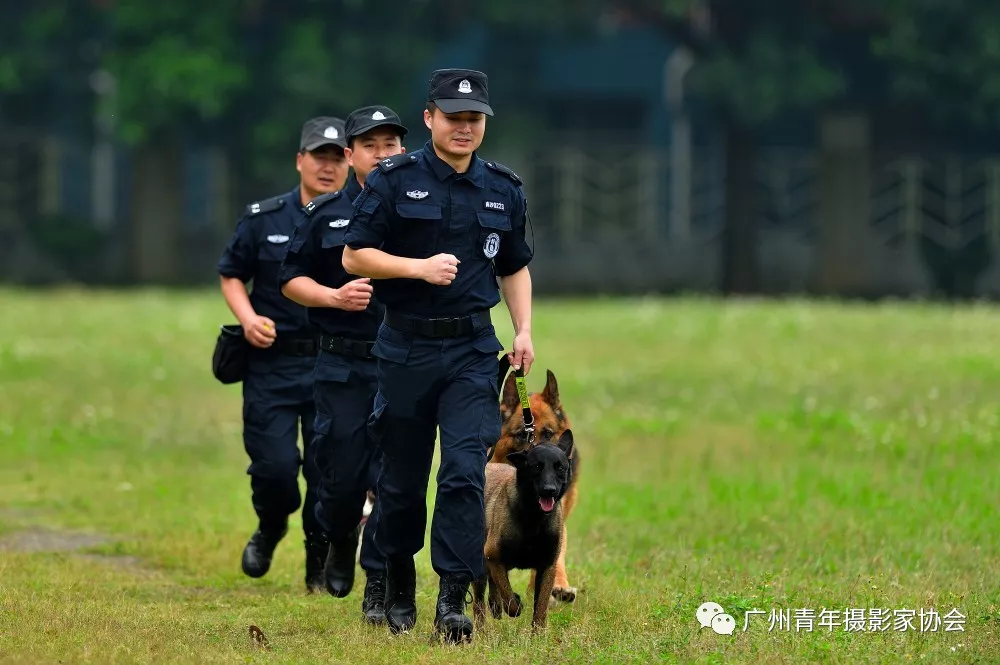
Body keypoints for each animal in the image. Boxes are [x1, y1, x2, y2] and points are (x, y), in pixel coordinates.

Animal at [472, 430, 576, 632]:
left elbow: (541, 607)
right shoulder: (493, 556)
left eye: (560, 467)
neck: (534, 518)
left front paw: (538, 634)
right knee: (479, 603)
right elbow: (509, 599)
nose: (549, 490)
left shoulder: (547, 567)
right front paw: (515, 603)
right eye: (536, 466)